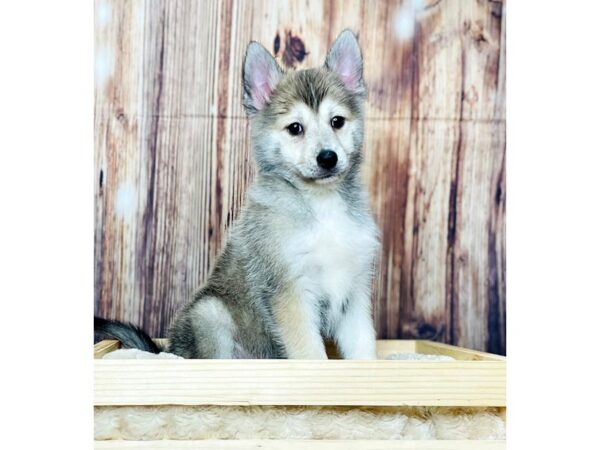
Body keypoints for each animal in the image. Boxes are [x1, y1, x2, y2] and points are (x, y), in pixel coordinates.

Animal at [98, 29, 380, 360]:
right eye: (295, 128)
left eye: (337, 122)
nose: (327, 158)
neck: (321, 206)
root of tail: (167, 350)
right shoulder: (290, 291)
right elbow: (309, 351)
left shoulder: (354, 293)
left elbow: (363, 346)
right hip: (209, 313)